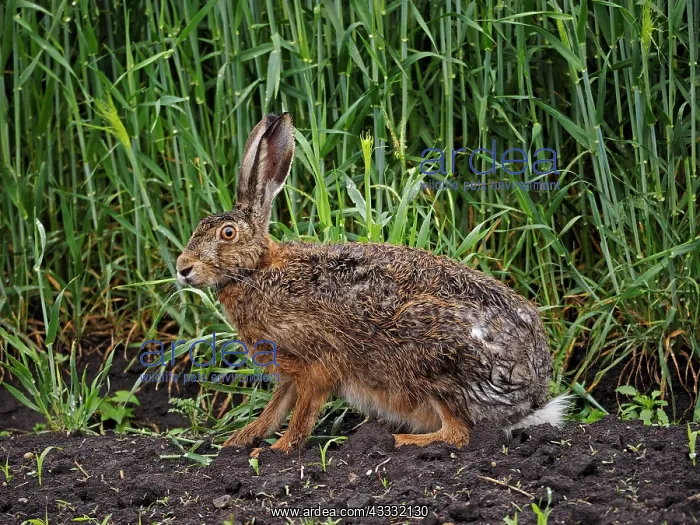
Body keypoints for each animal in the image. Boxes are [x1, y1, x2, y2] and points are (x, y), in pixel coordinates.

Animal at [176, 112, 568, 453]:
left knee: (458, 433)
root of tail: (531, 394)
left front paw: (276, 450)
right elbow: (275, 408)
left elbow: (302, 414)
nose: (183, 268)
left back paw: (396, 440)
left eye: (227, 233)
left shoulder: (317, 363)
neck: (256, 271)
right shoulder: (288, 372)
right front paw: (241, 440)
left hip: (434, 360)